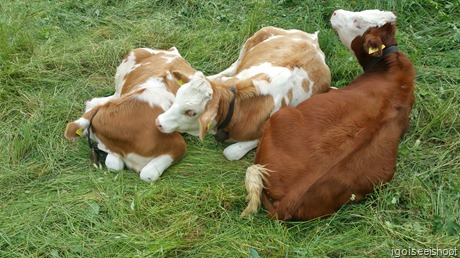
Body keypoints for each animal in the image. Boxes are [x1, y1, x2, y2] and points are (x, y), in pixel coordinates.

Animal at [155, 26, 330, 159]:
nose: (158, 122)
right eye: (177, 97)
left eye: (190, 112)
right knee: (232, 66)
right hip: (258, 35)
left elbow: (231, 152)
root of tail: (312, 40)